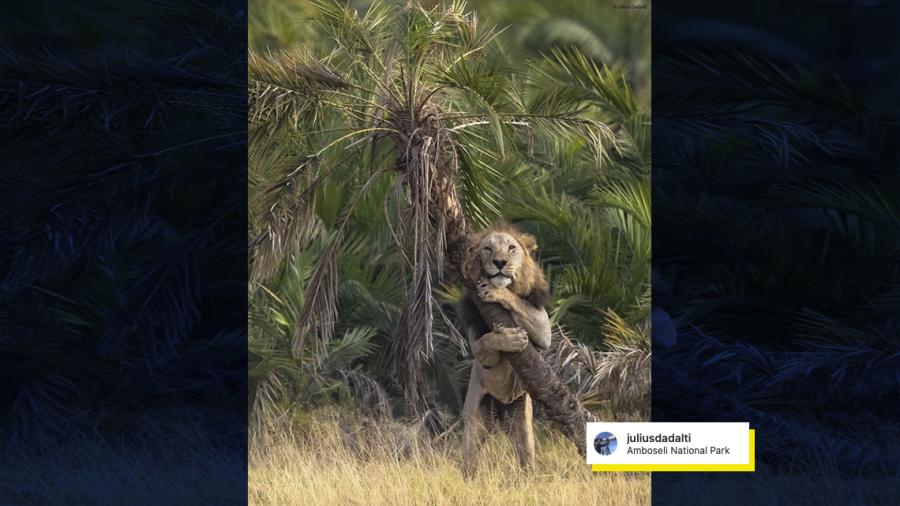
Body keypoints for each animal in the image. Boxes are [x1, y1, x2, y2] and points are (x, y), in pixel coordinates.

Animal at [460, 221, 552, 474]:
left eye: (511, 248)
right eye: (487, 249)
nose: (500, 262)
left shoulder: (544, 328)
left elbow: (516, 300)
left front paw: (496, 291)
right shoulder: (477, 344)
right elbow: (487, 341)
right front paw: (511, 339)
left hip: (521, 422)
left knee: (526, 456)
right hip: (475, 420)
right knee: (469, 459)